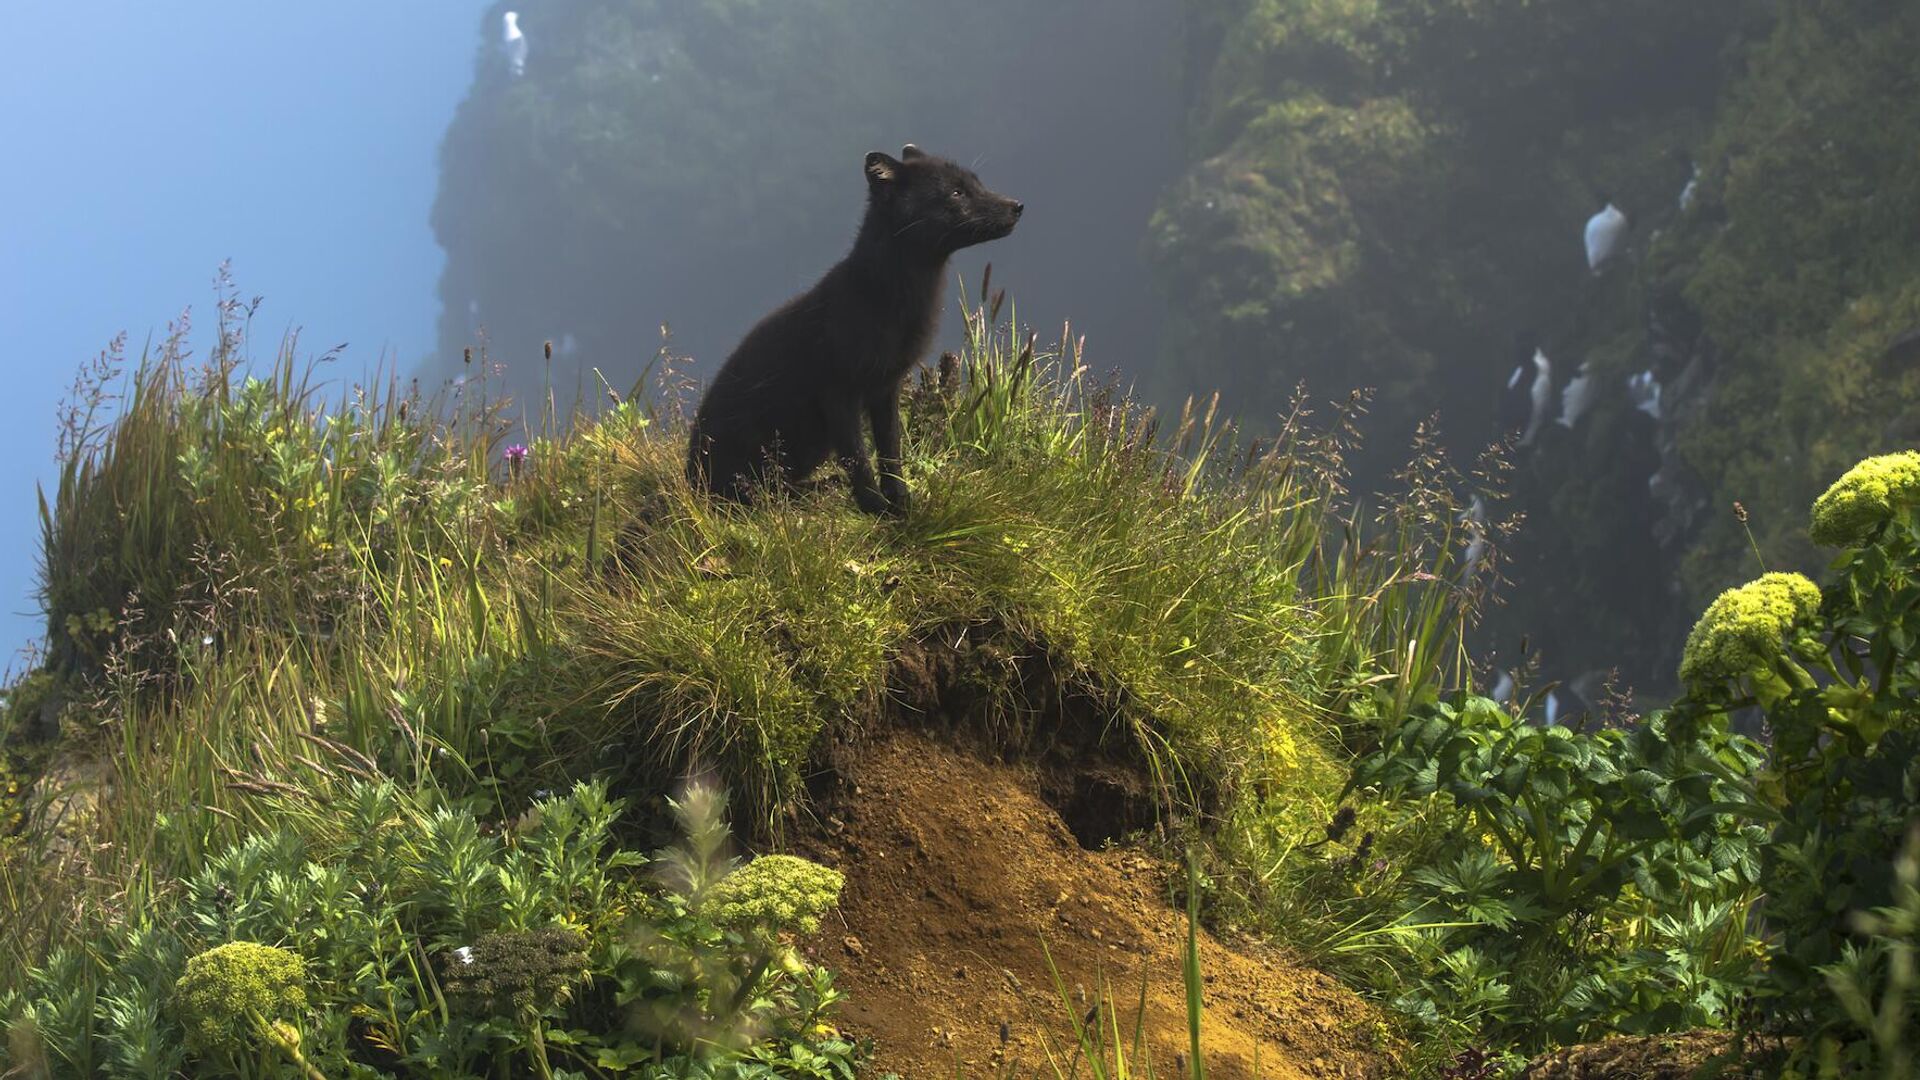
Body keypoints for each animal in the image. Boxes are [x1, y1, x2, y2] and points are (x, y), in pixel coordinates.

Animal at [687, 145, 1021, 511]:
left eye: (977, 182)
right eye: (956, 192)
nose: (1017, 206)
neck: (889, 303)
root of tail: (691, 477)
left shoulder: (886, 385)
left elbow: (890, 450)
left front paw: (901, 501)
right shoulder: (839, 391)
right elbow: (858, 459)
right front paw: (876, 506)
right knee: (762, 494)